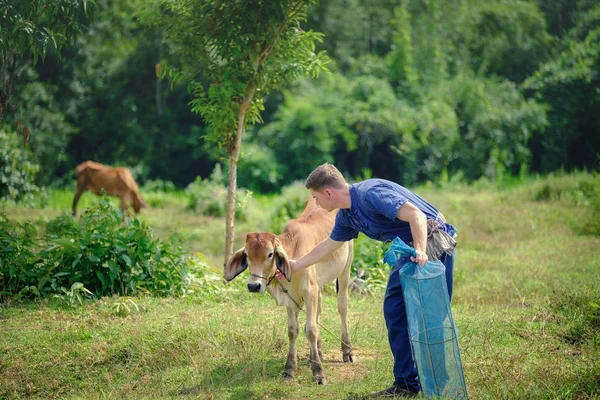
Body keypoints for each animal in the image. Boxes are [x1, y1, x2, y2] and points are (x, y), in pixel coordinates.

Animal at [225, 198, 356, 384]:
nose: (254, 286)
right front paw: (289, 369)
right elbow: (293, 331)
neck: (294, 250)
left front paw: (318, 373)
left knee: (342, 307)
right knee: (318, 311)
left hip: (345, 269)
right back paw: (318, 353)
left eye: (270, 254)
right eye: (247, 255)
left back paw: (347, 351)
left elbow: (310, 330)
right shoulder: (291, 298)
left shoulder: (309, 291)